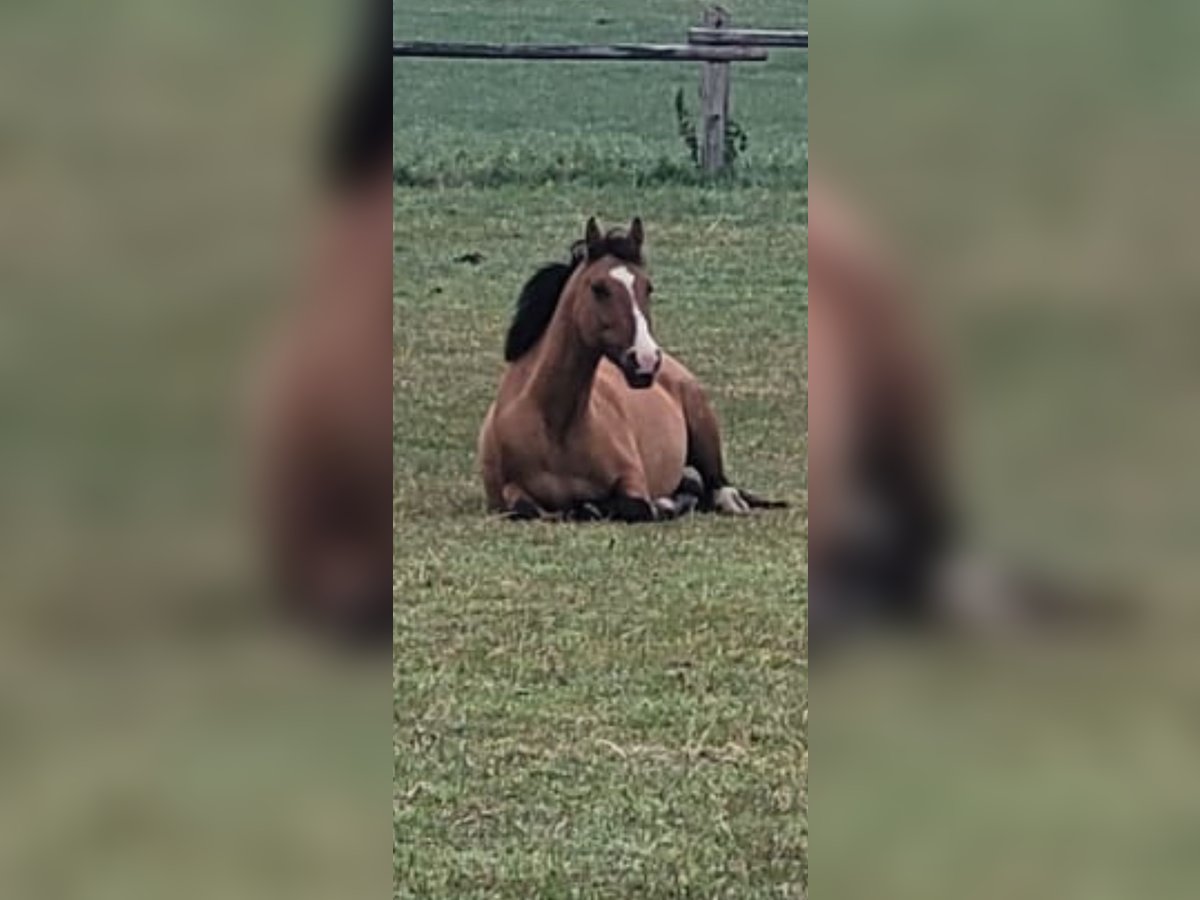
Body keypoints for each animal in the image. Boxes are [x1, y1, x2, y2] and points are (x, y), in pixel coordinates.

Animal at [477, 216, 784, 522]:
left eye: (648, 287)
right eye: (599, 288)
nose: (646, 359)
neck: (555, 428)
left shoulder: (633, 481)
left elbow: (630, 506)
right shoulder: (505, 494)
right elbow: (526, 508)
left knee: (718, 487)